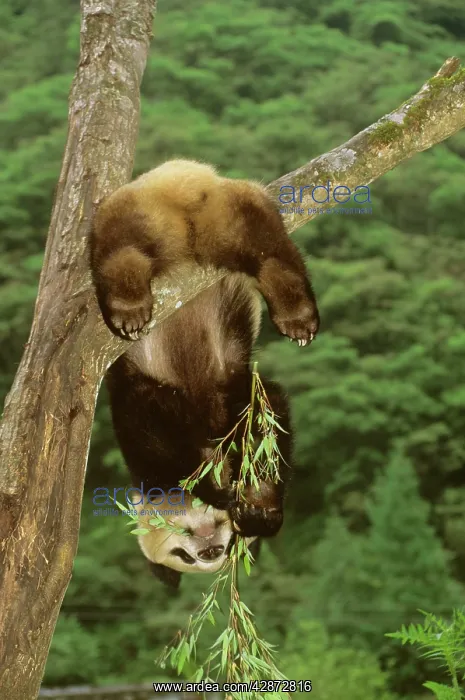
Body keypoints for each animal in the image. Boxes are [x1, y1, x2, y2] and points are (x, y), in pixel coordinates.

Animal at [90, 159, 319, 588]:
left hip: (130, 209)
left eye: (220, 552)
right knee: (266, 247)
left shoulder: (207, 398)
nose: (210, 550)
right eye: (184, 557)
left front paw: (253, 506)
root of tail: (184, 179)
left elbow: (258, 423)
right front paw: (234, 501)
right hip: (227, 212)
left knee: (119, 244)